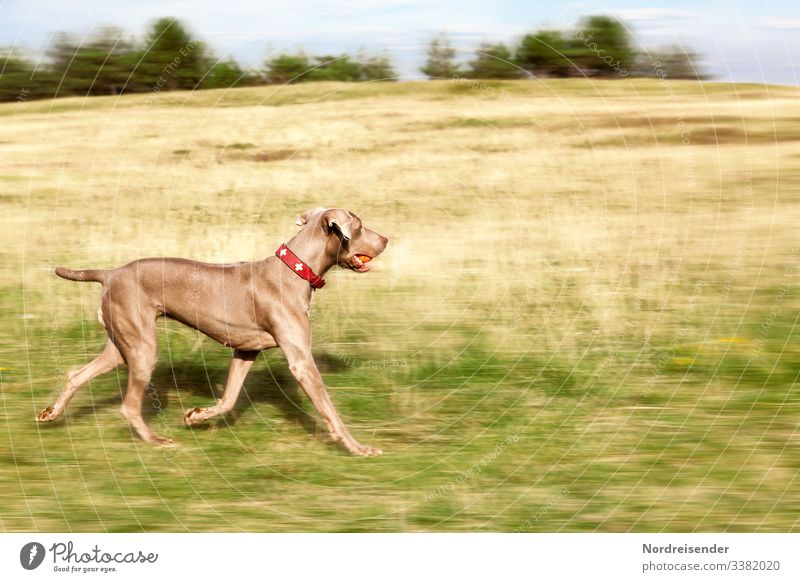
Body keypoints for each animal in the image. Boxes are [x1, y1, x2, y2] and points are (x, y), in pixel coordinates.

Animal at [39, 208, 390, 458]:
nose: (386, 239)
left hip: (122, 344)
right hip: (142, 347)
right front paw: (358, 448)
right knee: (127, 405)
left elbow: (229, 399)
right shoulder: (301, 361)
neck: (294, 271)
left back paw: (51, 413)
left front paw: (196, 415)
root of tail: (109, 273)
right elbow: (330, 409)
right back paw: (157, 440)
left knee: (75, 374)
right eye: (360, 226)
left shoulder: (245, 351)